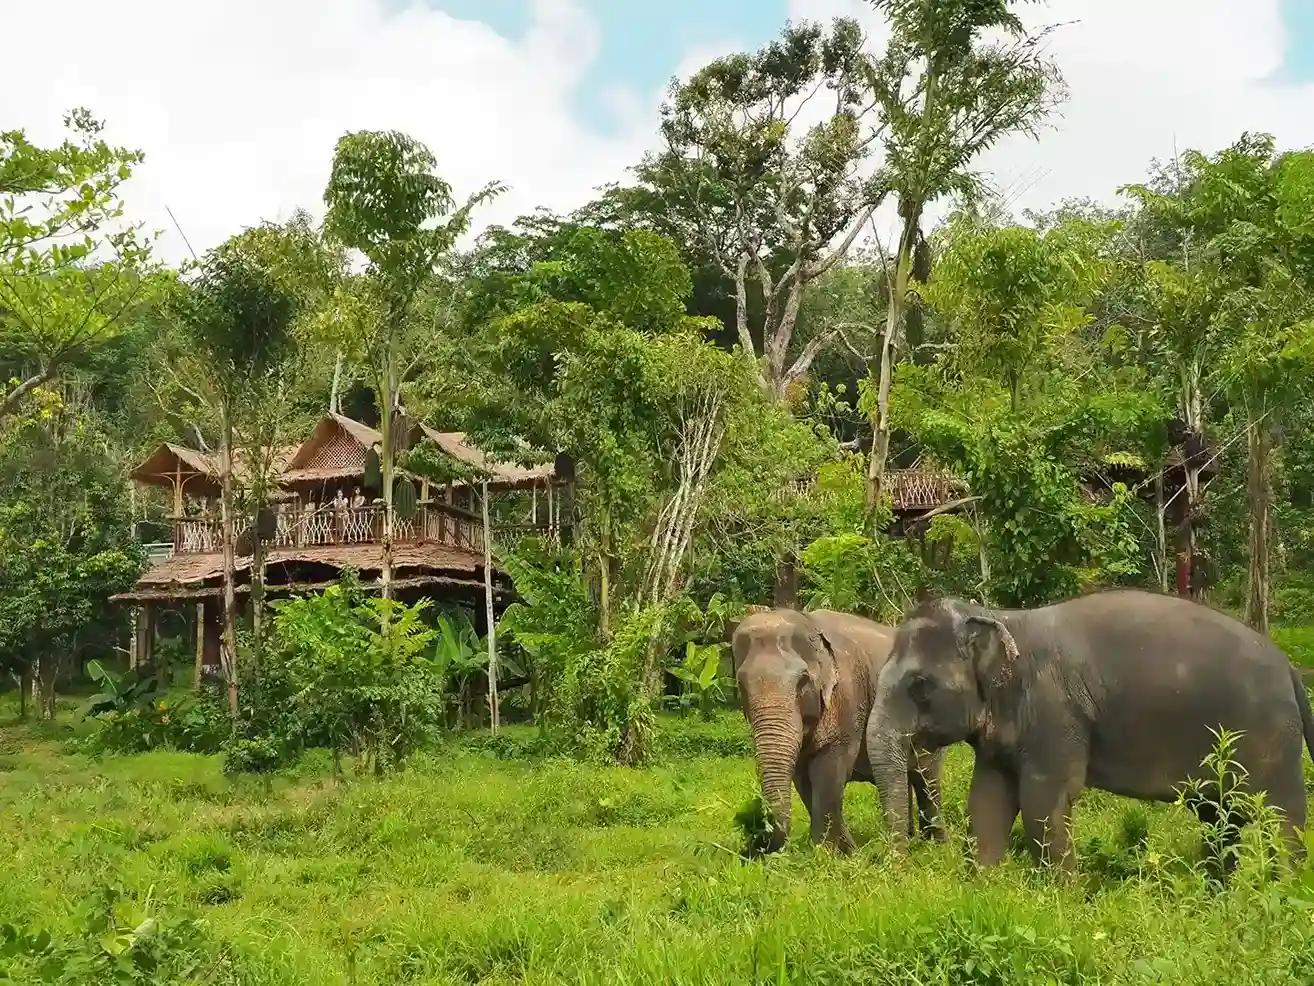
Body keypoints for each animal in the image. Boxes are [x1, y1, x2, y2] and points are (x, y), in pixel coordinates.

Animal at [732, 607, 946, 855]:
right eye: (741, 683)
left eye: (802, 681)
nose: (753, 840)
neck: (808, 622)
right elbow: (803, 779)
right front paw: (834, 851)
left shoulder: (848, 696)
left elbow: (830, 771)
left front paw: (838, 855)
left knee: (926, 778)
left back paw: (936, 848)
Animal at [865, 589, 1314, 875]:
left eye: (920, 686)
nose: (903, 869)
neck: (1001, 617)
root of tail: (1291, 669)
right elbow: (987, 803)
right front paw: (984, 888)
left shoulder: (1054, 714)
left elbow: (1043, 802)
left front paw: (1062, 899)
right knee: (1221, 815)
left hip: (1272, 739)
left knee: (1279, 817)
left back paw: (1281, 891)